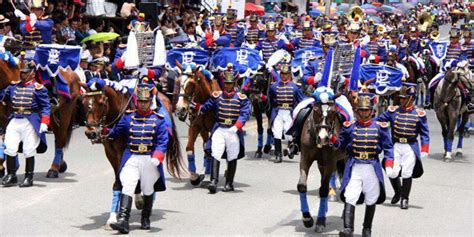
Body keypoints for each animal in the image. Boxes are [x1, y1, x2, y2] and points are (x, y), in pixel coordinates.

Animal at [81, 82, 185, 228]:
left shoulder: (122, 152)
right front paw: (115, 215)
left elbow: (121, 181)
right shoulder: (111, 154)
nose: (90, 132)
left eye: (101, 102)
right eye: (83, 103)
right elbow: (121, 180)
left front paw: (115, 217)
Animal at [296, 96, 344, 233]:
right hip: (321, 164)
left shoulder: (331, 162)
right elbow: (302, 186)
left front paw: (320, 221)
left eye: (333, 111)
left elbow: (323, 189)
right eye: (316, 110)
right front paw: (307, 219)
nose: (323, 138)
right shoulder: (305, 158)